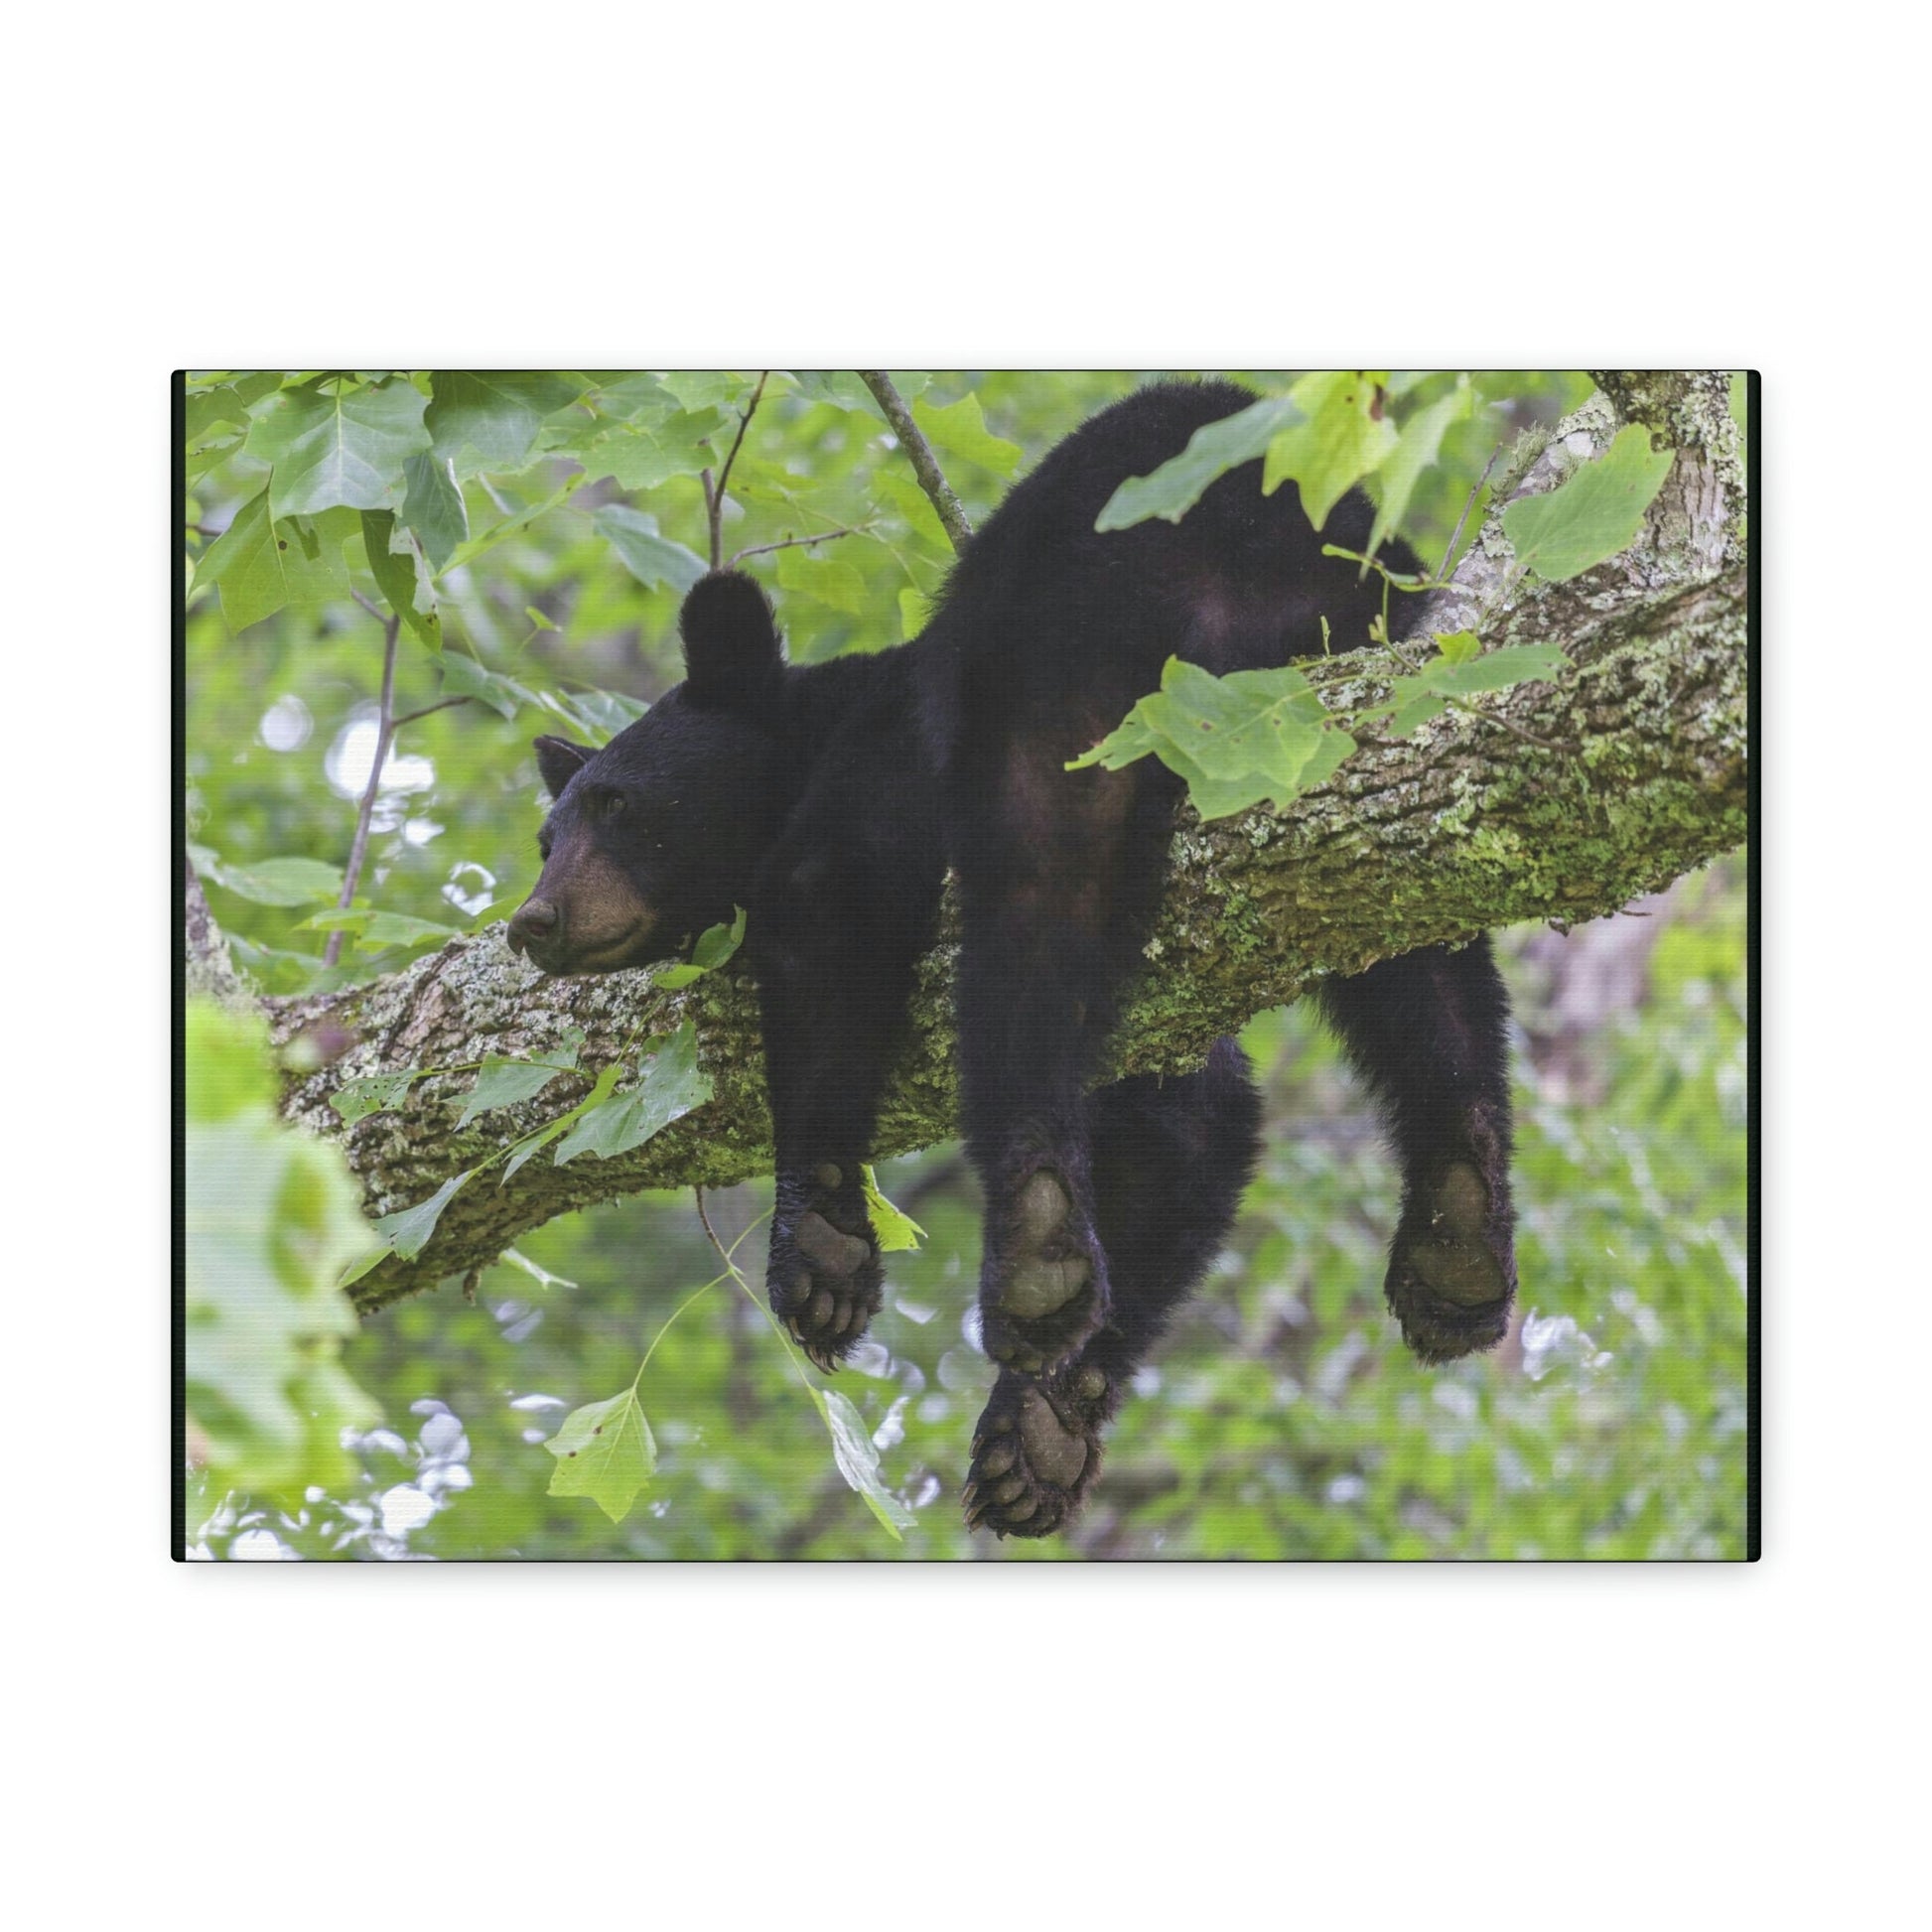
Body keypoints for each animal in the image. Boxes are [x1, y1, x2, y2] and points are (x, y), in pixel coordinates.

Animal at [505, 380, 1514, 1538]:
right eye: (546, 836)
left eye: (621, 808)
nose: (532, 920)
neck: (811, 732)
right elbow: (1193, 1121)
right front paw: (1039, 1434)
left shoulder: (885, 760)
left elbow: (826, 908)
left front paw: (822, 1248)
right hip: (1350, 687)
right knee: (1412, 928)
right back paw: (1457, 1229)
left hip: (1064, 661)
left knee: (1036, 902)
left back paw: (1032, 1240)